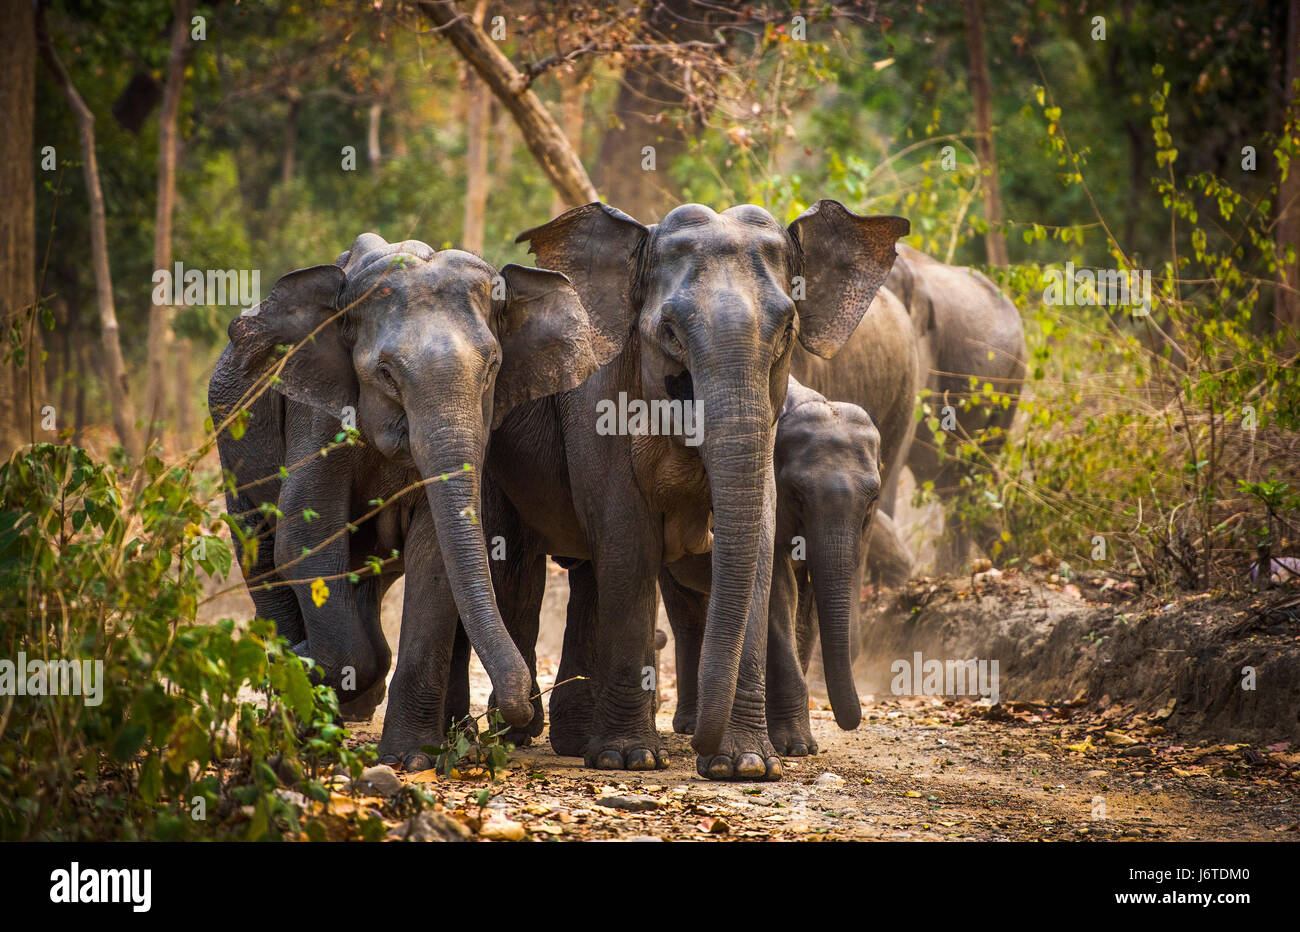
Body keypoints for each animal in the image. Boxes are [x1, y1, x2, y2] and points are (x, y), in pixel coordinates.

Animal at [208, 231, 613, 764]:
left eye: (493, 368)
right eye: (384, 372)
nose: (521, 709)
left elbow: (435, 555)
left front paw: (410, 759)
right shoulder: (316, 412)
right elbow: (305, 536)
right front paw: (308, 663)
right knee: (261, 550)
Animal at [660, 374, 883, 753]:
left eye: (872, 500)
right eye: (796, 494)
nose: (852, 722)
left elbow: (806, 607)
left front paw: (794, 743)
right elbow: (779, 596)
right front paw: (796, 747)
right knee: (685, 614)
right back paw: (689, 725)